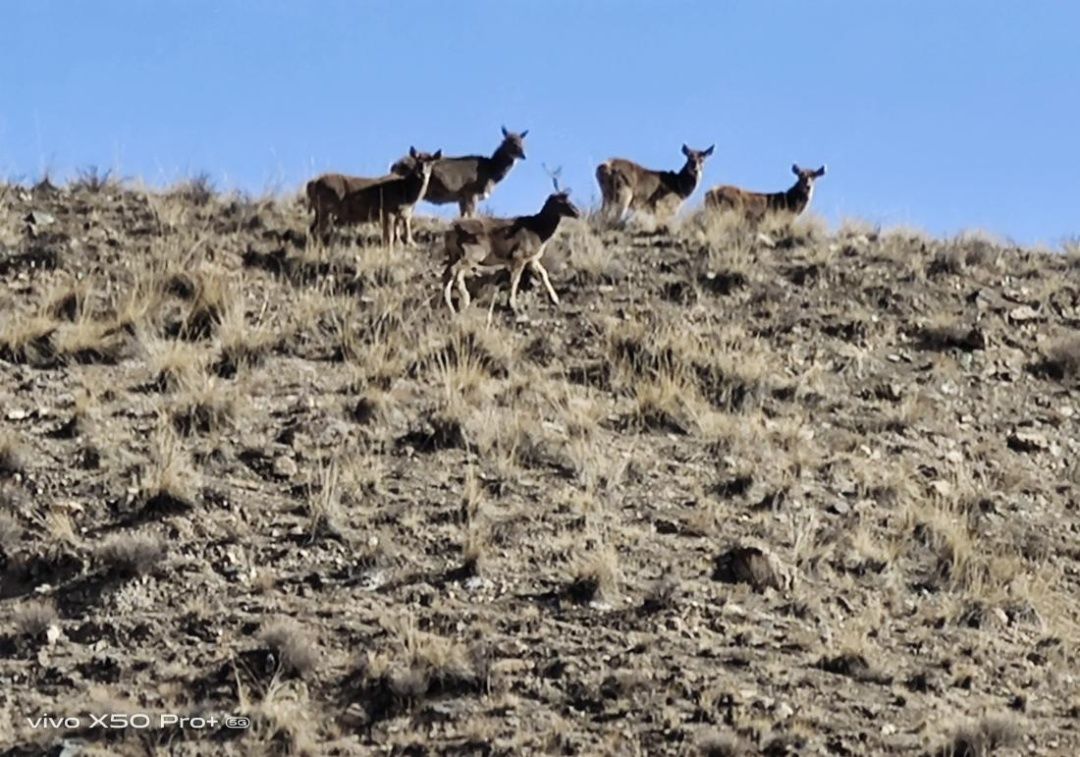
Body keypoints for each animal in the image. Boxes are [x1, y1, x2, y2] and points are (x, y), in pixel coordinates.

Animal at [304, 149, 438, 249]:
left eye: (431, 163)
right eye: (417, 162)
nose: (422, 174)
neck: (406, 191)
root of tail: (312, 184)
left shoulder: (398, 214)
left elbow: (394, 234)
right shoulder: (387, 210)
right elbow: (389, 236)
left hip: (319, 210)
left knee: (311, 229)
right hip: (326, 208)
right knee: (318, 231)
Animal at [388, 126, 527, 215]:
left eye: (523, 143)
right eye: (508, 142)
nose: (524, 155)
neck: (490, 172)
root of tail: (394, 166)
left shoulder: (462, 198)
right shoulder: (471, 193)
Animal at [442, 168, 583, 313]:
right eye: (561, 201)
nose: (577, 212)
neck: (539, 231)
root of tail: (451, 230)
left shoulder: (531, 259)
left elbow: (543, 273)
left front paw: (555, 300)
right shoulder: (519, 255)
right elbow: (515, 278)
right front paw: (513, 305)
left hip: (454, 254)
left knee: (447, 273)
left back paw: (453, 306)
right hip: (473, 252)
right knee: (454, 271)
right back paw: (461, 302)